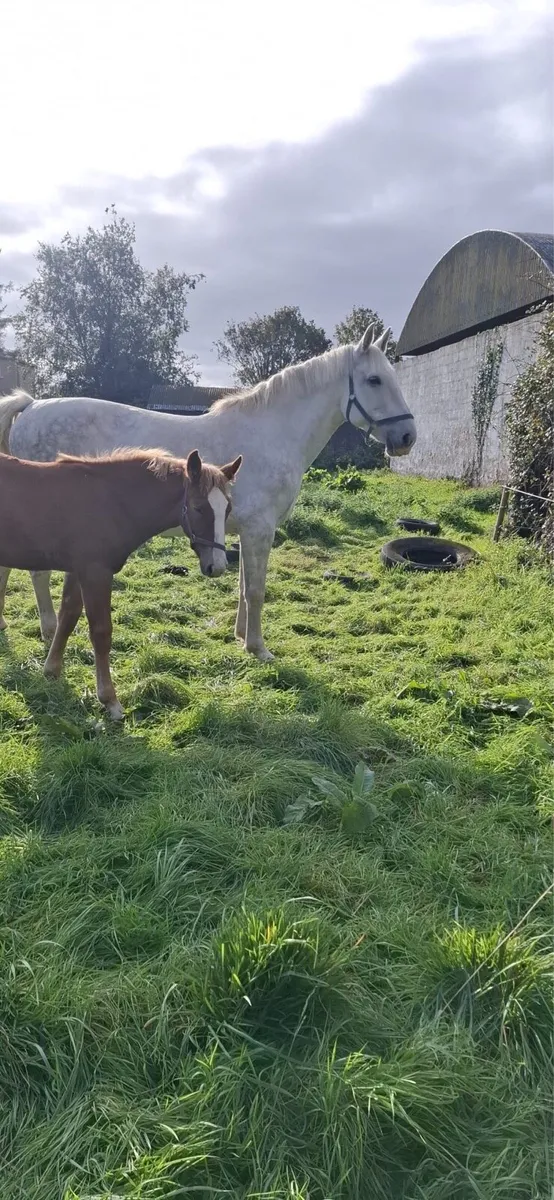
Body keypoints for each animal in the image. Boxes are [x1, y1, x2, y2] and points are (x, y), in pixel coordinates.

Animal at [0, 323, 416, 661]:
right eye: (375, 380)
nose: (407, 437)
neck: (272, 434)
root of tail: (31, 406)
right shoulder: (260, 529)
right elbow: (257, 590)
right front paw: (259, 649)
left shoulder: (247, 531)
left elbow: (244, 586)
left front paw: (241, 637)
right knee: (37, 573)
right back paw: (49, 630)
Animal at [0, 447, 241, 719]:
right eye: (199, 508)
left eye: (227, 509)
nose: (217, 566)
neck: (112, 502)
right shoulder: (95, 573)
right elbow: (101, 633)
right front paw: (110, 701)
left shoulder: (77, 571)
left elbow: (68, 617)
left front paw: (52, 671)